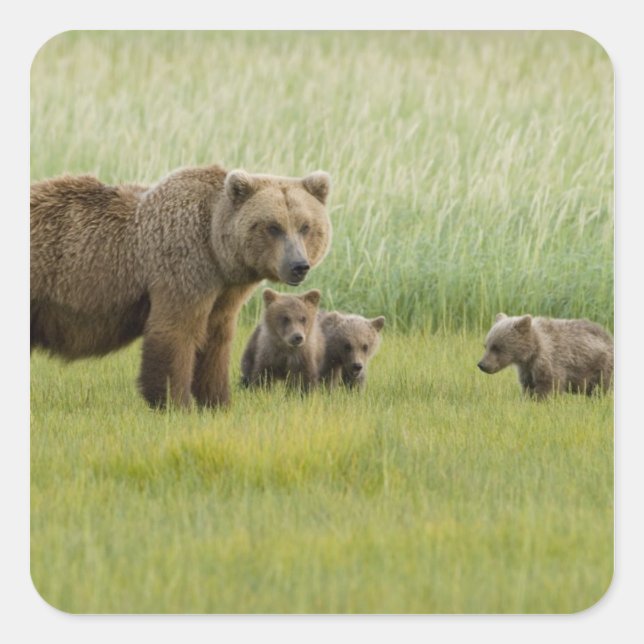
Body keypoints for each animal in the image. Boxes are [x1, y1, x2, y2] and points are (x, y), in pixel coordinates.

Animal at [30, 165, 332, 408]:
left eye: (306, 226)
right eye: (273, 227)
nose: (298, 265)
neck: (215, 249)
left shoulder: (224, 292)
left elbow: (215, 340)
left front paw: (217, 401)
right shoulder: (182, 266)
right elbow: (176, 332)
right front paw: (174, 403)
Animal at [477, 313, 614, 399]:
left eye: (497, 347)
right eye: (486, 345)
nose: (482, 365)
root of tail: (608, 336)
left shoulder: (550, 361)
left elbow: (548, 385)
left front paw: (539, 401)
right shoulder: (527, 369)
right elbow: (527, 386)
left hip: (600, 365)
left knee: (601, 388)